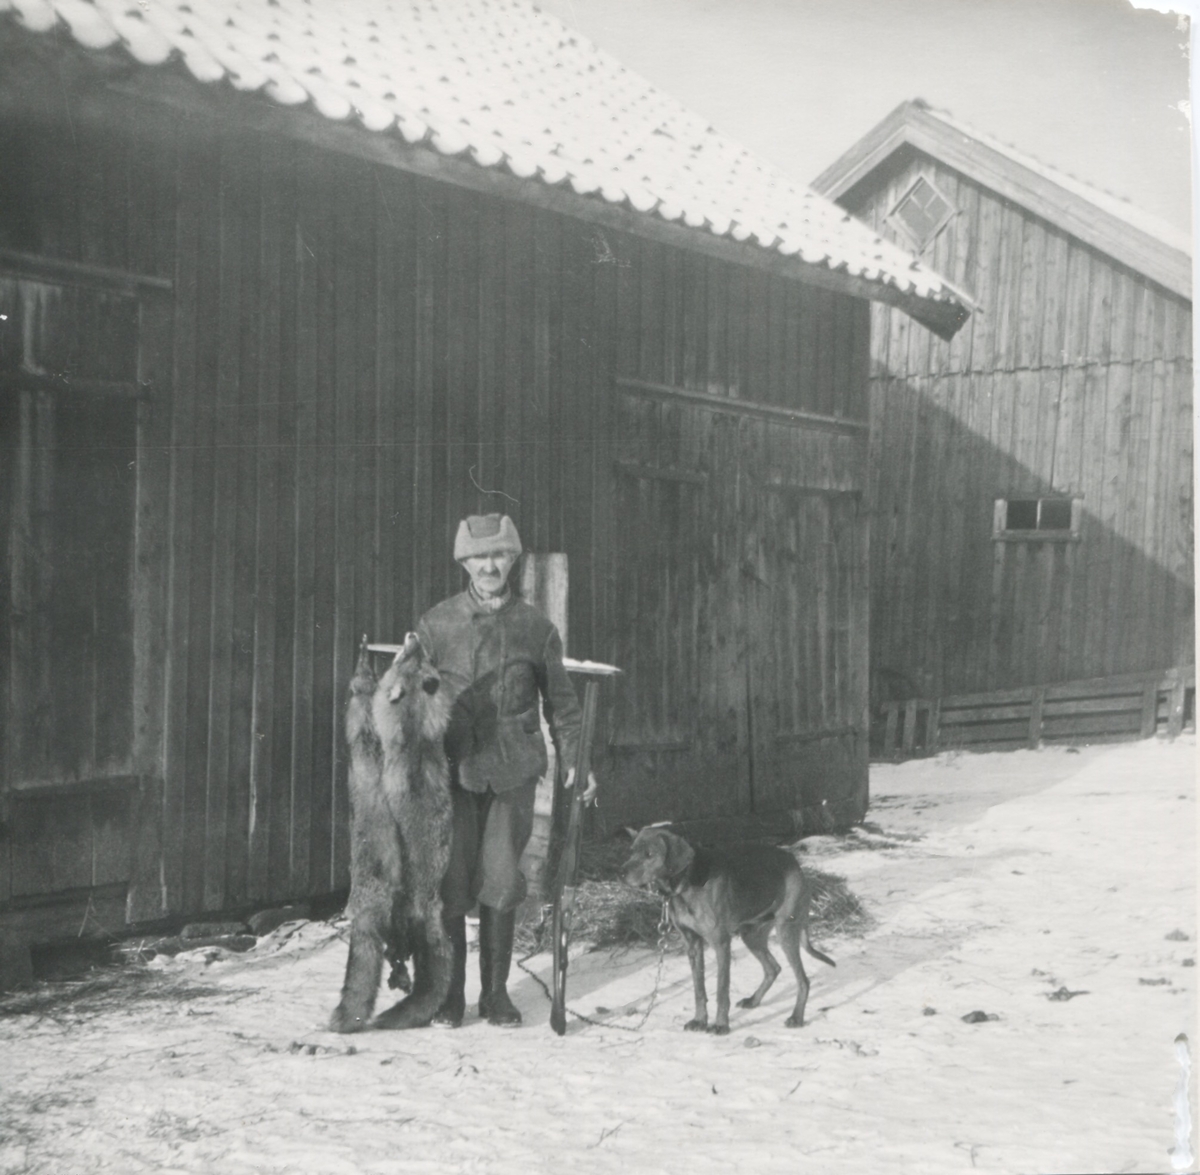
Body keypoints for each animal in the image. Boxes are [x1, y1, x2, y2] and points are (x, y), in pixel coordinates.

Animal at [624, 820, 840, 1032]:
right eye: (632, 851)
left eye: (649, 854)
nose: (622, 873)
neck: (686, 883)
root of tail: (795, 863)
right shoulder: (692, 944)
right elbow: (699, 990)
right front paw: (700, 1020)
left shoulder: (720, 943)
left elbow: (722, 990)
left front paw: (721, 1025)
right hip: (751, 935)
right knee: (773, 968)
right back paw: (753, 1000)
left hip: (786, 932)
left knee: (803, 980)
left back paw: (796, 1017)